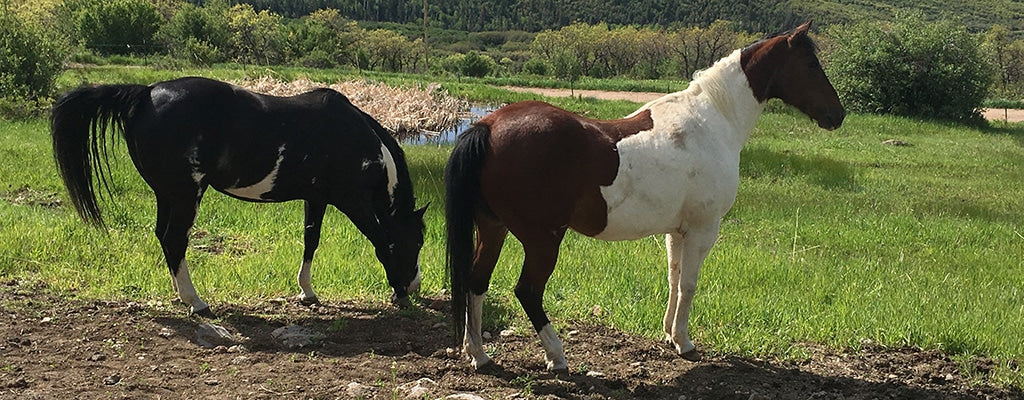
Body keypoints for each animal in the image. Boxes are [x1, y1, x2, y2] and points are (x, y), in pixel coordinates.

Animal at [50, 76, 428, 317]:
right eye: (417, 241)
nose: (415, 286)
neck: (355, 136)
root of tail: (147, 93)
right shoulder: (353, 201)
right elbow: (382, 242)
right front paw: (397, 295)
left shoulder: (317, 198)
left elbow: (311, 240)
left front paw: (306, 292)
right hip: (186, 194)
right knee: (174, 238)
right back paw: (197, 302)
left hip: (167, 194)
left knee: (164, 237)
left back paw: (181, 296)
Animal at [444, 21, 843, 372]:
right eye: (811, 63)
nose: (838, 114)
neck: (712, 121)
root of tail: (487, 125)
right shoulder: (703, 229)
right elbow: (689, 285)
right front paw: (685, 342)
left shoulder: (677, 232)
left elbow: (674, 279)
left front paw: (669, 335)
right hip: (543, 240)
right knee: (527, 291)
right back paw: (556, 357)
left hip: (493, 229)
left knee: (476, 283)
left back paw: (479, 355)